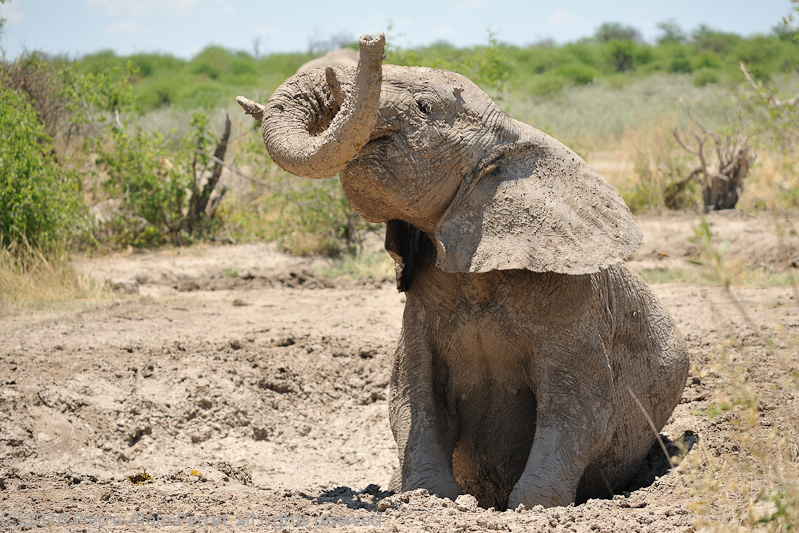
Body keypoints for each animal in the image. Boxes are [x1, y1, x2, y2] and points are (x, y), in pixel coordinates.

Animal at [238, 34, 688, 512]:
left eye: (424, 107)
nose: (370, 41)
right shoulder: (422, 300)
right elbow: (414, 399)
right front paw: (427, 497)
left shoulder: (574, 302)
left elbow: (577, 407)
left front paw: (531, 507)